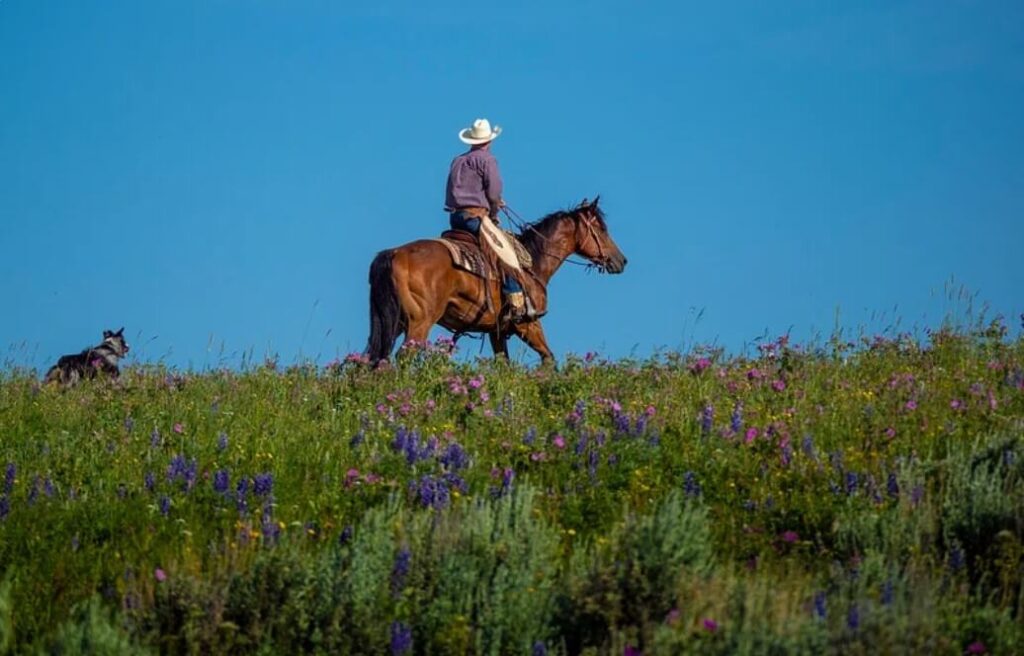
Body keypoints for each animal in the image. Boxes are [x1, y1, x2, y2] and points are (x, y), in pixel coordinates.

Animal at [364, 198, 626, 364]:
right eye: (601, 229)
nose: (621, 260)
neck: (533, 262)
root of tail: (394, 253)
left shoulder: (496, 331)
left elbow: (504, 365)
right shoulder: (527, 323)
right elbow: (548, 357)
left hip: (394, 322)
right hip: (420, 322)